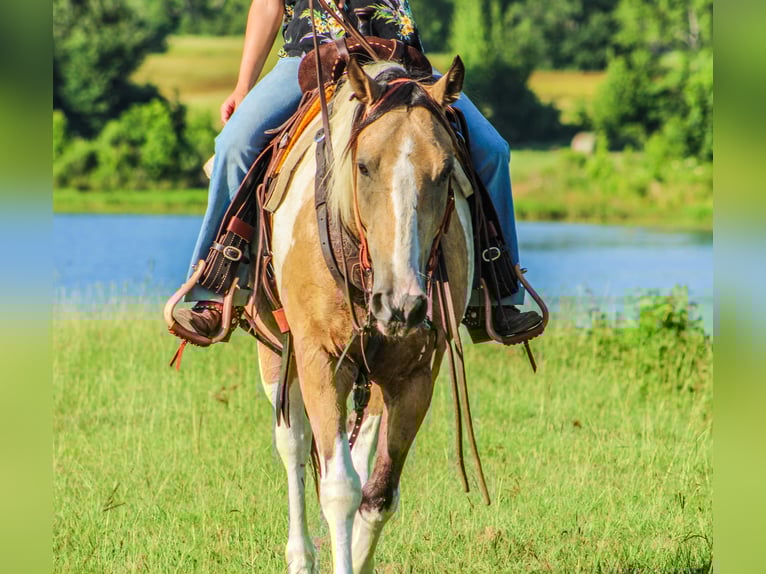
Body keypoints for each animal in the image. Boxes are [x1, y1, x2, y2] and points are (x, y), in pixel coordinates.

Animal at [253, 56, 474, 574]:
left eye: (446, 170)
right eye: (363, 165)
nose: (402, 304)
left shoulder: (415, 374)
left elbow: (378, 495)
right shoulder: (319, 358)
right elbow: (338, 488)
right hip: (275, 344)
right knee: (292, 443)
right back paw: (301, 556)